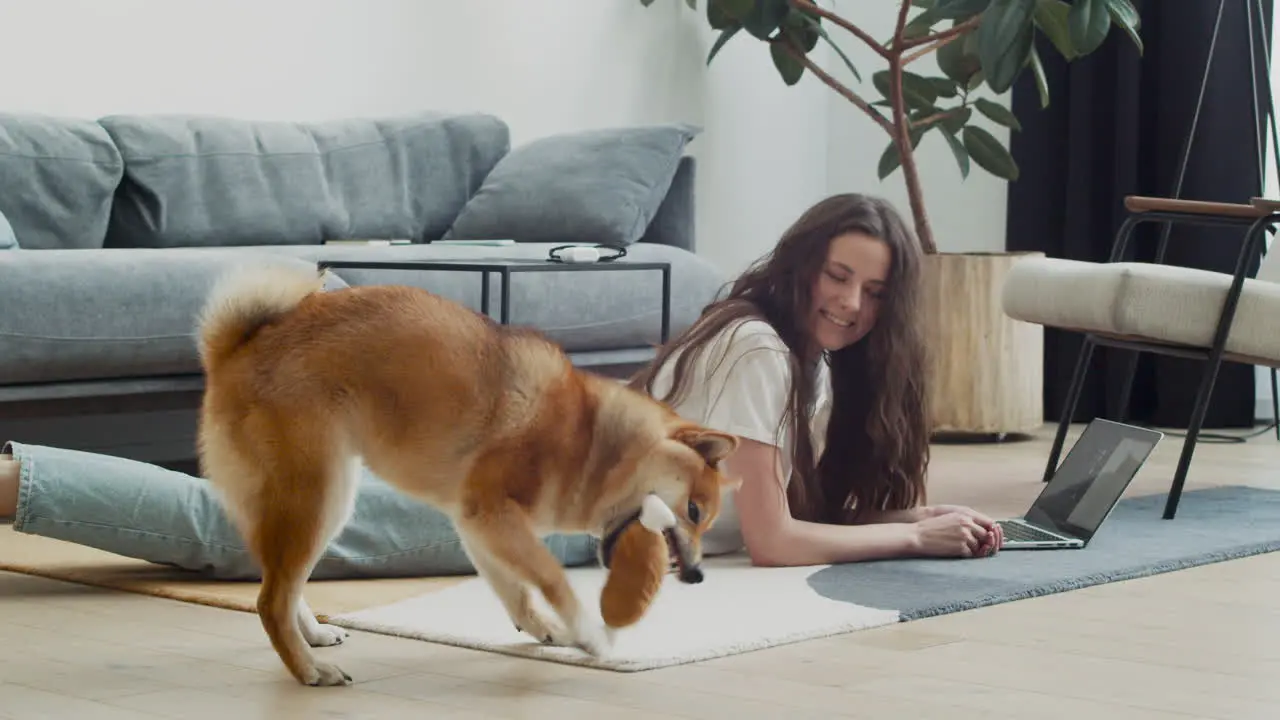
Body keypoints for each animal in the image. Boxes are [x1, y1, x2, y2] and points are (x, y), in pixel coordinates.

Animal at [192, 262, 742, 681]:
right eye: (695, 511)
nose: (696, 575)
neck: (590, 441)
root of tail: (236, 349)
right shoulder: (493, 512)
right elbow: (552, 577)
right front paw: (587, 634)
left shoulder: (477, 524)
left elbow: (516, 588)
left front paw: (548, 630)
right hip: (320, 496)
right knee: (270, 601)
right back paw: (309, 670)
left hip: (324, 498)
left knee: (282, 587)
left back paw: (314, 636)